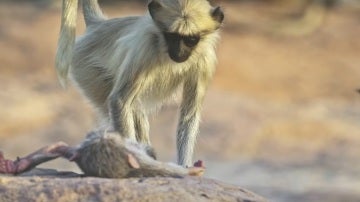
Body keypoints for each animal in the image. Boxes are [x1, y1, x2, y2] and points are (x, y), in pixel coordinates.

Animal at [55, 0, 225, 166]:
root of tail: (99, 25)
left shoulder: (205, 60)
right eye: (172, 37)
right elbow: (120, 101)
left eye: (190, 40)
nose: (179, 52)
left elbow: (189, 114)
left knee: (136, 108)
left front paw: (184, 165)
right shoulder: (145, 48)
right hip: (86, 70)